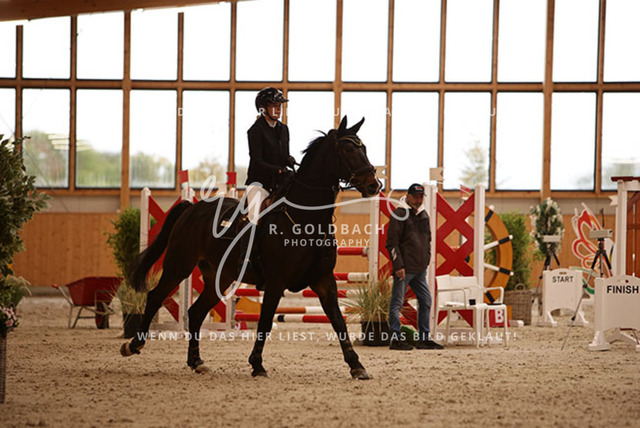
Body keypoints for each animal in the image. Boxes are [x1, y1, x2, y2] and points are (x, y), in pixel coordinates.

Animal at [120, 116, 381, 380]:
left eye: (364, 148)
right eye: (348, 150)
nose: (374, 185)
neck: (306, 219)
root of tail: (191, 208)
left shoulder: (324, 280)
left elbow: (338, 322)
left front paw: (357, 365)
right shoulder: (276, 282)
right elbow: (265, 322)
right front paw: (257, 364)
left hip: (219, 278)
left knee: (195, 312)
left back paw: (196, 361)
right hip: (179, 265)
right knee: (155, 297)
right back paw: (133, 344)